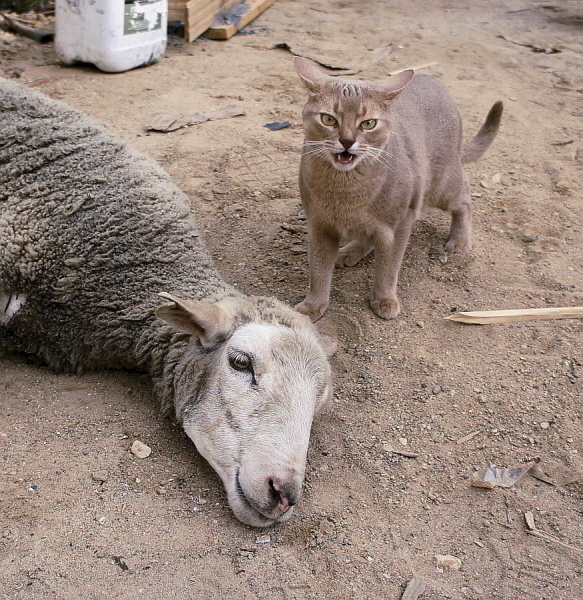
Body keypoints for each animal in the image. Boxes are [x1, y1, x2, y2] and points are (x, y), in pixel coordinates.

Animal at [294, 56, 504, 322]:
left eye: (368, 123)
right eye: (329, 119)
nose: (347, 141)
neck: (346, 192)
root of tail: (433, 79)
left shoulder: (400, 224)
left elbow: (389, 267)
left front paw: (385, 300)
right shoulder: (320, 225)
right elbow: (319, 270)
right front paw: (313, 306)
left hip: (442, 187)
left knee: (465, 195)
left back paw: (460, 241)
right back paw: (349, 251)